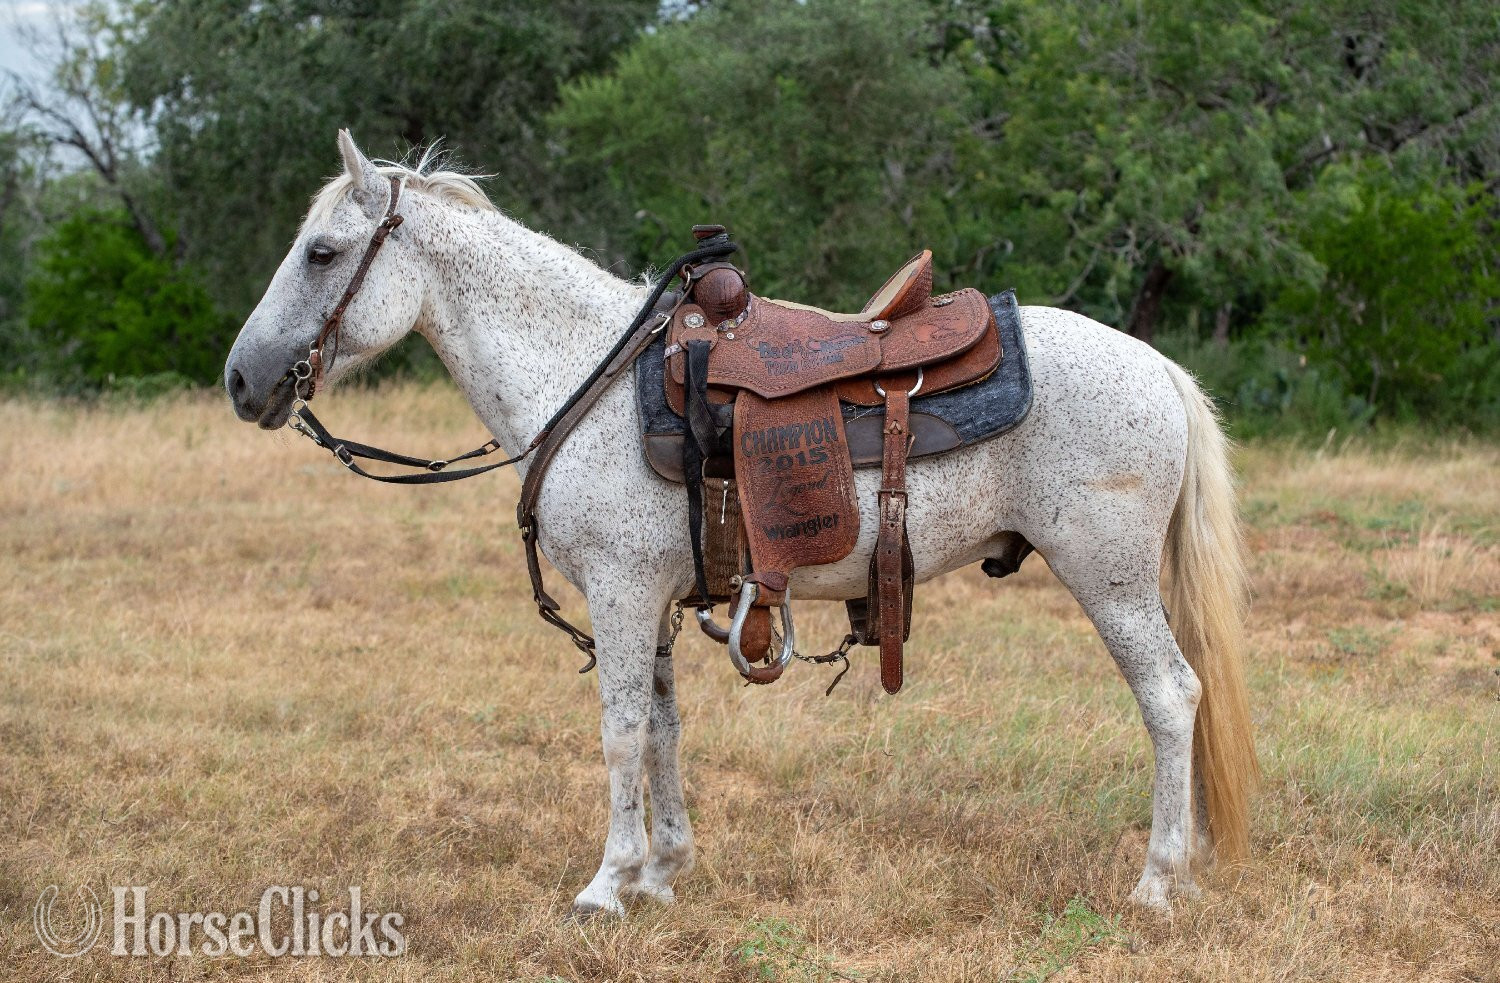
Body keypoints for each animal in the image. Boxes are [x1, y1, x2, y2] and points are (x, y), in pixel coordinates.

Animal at [224, 131, 1257, 916]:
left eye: (322, 252)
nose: (243, 378)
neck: (589, 378)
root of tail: (1158, 367)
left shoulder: (621, 592)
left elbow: (620, 731)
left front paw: (604, 885)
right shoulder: (654, 599)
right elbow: (664, 728)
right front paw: (660, 873)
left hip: (1109, 577)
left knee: (1171, 697)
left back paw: (1158, 881)